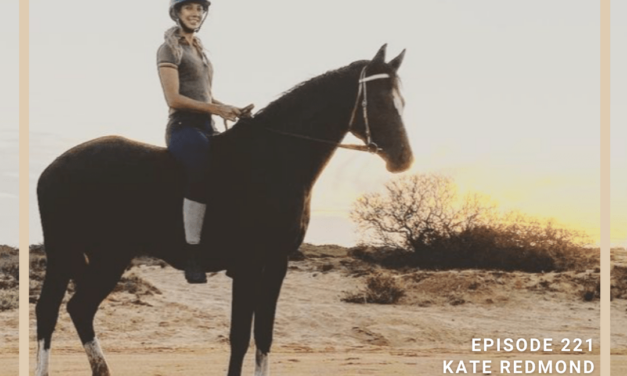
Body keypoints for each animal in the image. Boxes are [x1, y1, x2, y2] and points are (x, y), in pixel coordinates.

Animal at [36, 44, 414, 376]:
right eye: (380, 101)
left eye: (402, 101)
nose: (404, 159)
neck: (273, 158)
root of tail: (53, 168)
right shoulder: (249, 265)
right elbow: (241, 338)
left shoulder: (274, 263)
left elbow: (261, 336)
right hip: (83, 254)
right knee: (53, 311)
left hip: (100, 256)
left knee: (74, 309)